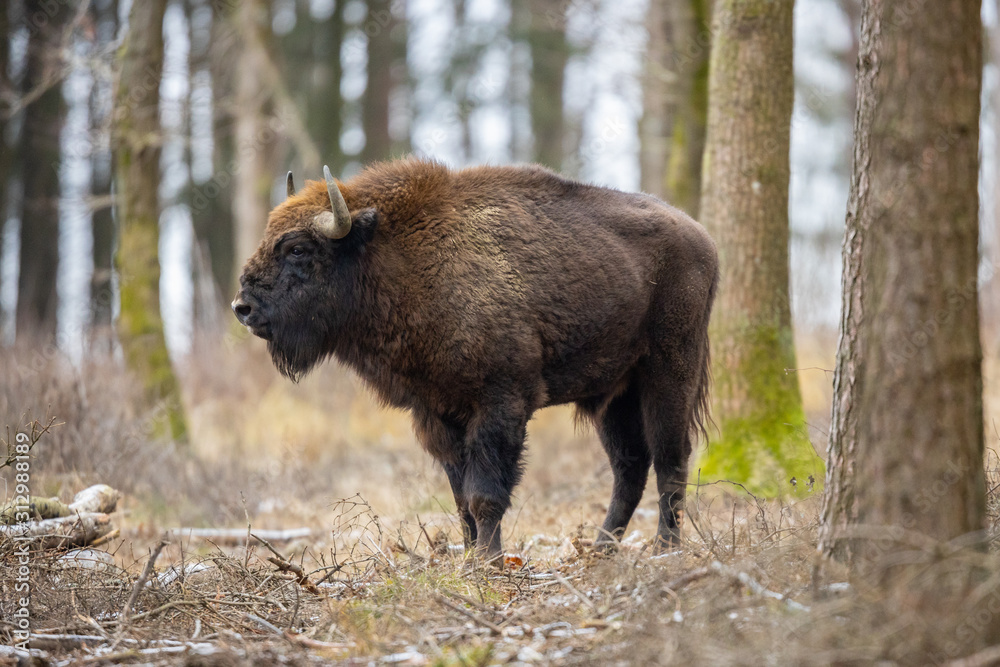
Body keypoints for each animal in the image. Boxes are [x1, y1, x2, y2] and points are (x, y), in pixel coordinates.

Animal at [233, 159, 718, 560]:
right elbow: (461, 495)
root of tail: (704, 239)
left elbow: (486, 493)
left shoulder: (499, 404)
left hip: (669, 372)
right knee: (629, 468)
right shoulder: (437, 414)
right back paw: (601, 550)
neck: (397, 256)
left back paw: (665, 549)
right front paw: (472, 560)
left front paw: (488, 563)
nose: (243, 307)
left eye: (297, 248)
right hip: (614, 395)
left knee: (670, 459)